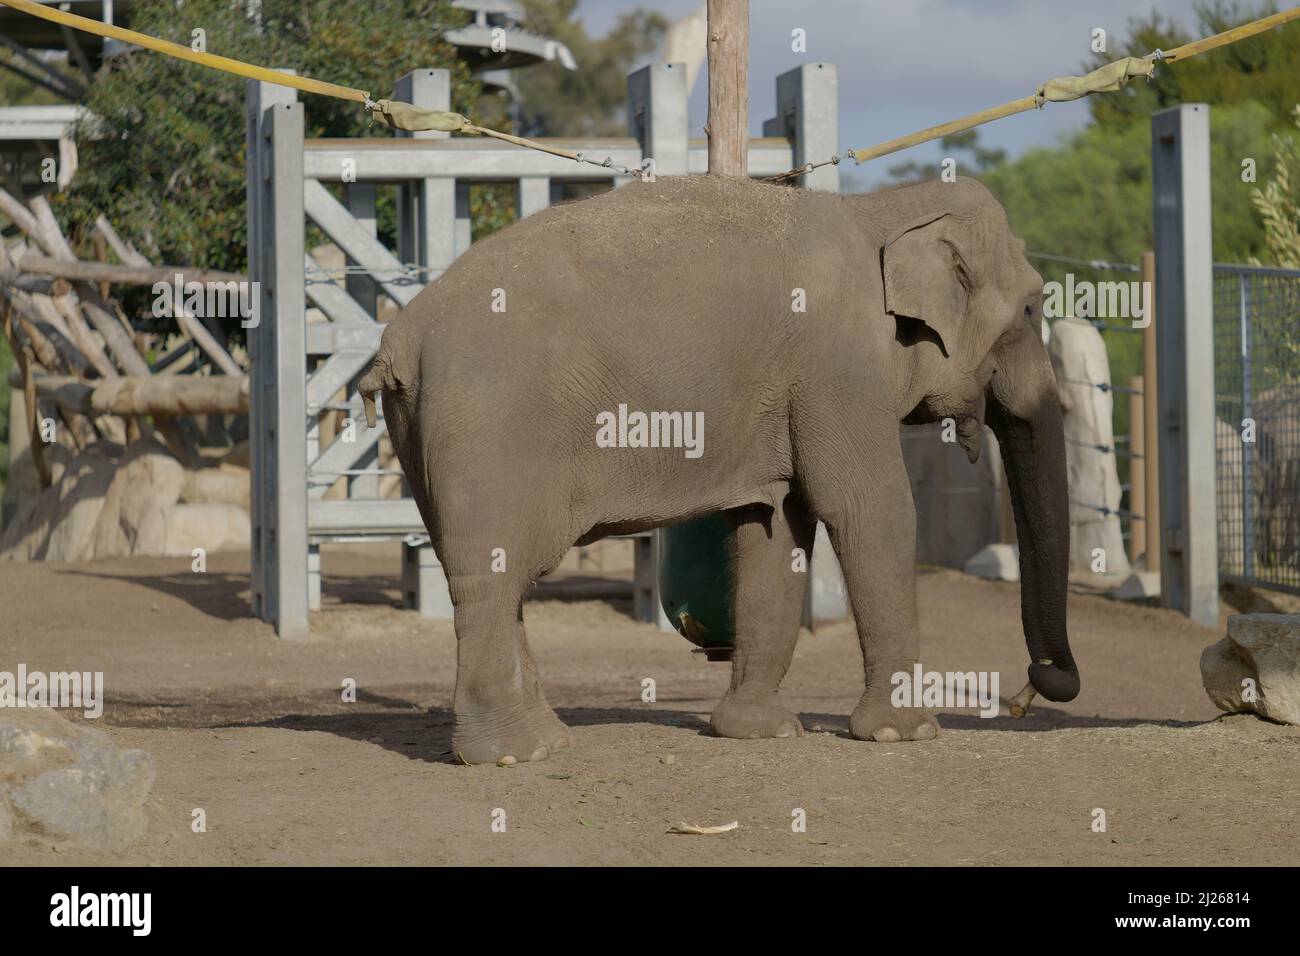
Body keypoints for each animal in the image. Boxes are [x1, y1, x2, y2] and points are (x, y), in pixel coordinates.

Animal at [358, 173, 1079, 765]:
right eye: (1031, 309)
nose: (1036, 689)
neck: (880, 208)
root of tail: (400, 339)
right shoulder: (839, 364)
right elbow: (866, 507)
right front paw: (904, 735)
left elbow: (776, 529)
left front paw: (758, 732)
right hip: (489, 425)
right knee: (492, 573)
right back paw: (511, 756)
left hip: (427, 434)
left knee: (497, 578)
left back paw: (548, 741)